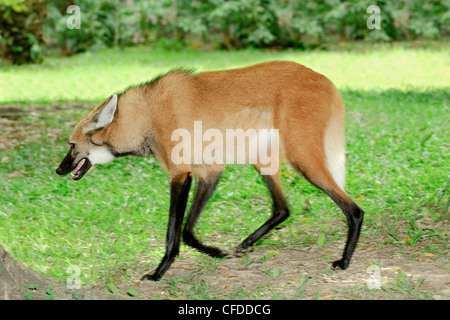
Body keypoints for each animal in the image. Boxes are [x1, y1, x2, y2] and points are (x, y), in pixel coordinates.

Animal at [57, 60, 366, 280]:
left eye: (71, 146)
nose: (59, 170)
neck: (145, 118)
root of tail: (326, 79)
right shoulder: (209, 170)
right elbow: (187, 230)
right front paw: (216, 252)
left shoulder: (180, 174)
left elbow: (173, 232)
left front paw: (159, 272)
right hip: (261, 157)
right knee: (282, 208)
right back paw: (246, 243)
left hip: (301, 159)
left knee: (354, 210)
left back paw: (345, 260)